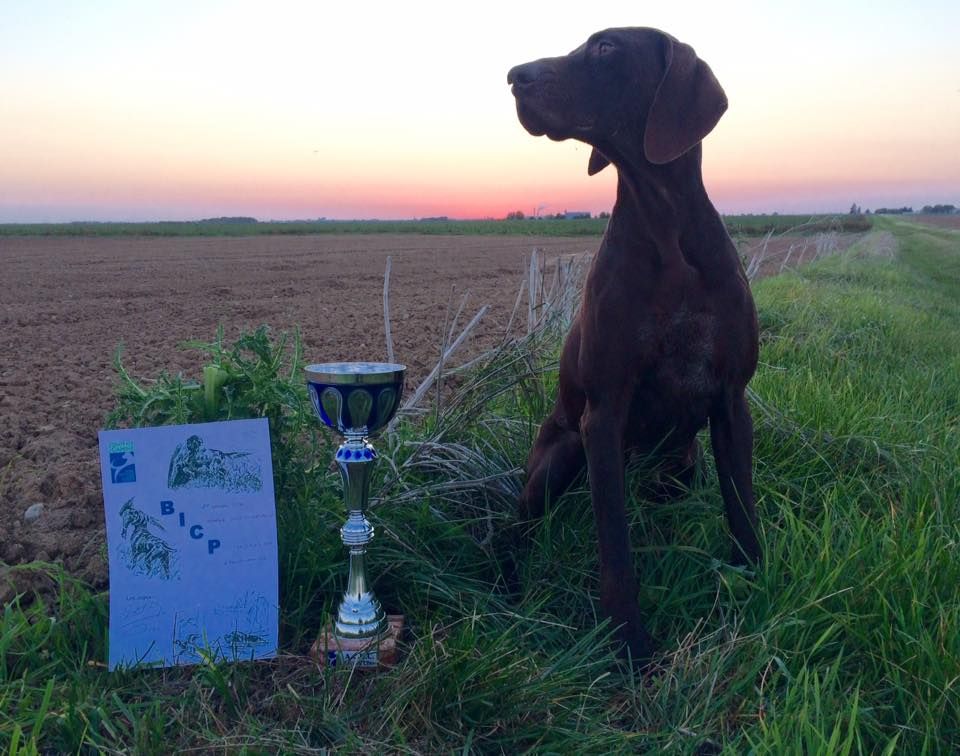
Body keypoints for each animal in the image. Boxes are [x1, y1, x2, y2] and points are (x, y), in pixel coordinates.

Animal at [506, 26, 760, 660]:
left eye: (606, 48)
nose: (515, 76)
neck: (666, 228)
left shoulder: (731, 401)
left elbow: (742, 508)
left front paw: (760, 581)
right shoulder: (602, 417)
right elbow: (616, 547)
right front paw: (629, 645)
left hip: (681, 463)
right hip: (561, 456)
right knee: (514, 529)